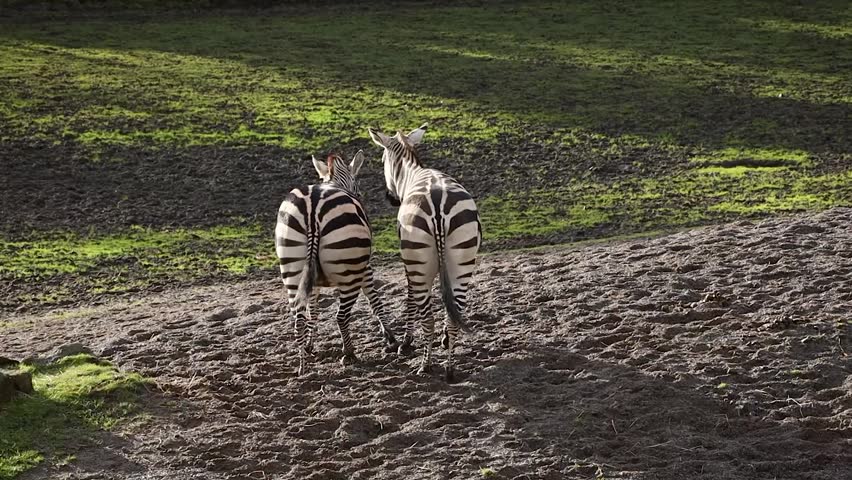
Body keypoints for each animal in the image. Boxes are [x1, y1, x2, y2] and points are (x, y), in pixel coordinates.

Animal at [275, 151, 398, 375]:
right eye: (357, 187)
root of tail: (312, 207)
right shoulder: (365, 268)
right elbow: (375, 299)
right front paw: (391, 339)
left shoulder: (312, 280)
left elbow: (313, 310)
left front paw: (309, 345)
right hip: (350, 272)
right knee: (341, 317)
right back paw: (349, 353)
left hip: (291, 269)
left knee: (299, 320)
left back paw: (302, 367)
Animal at [368, 124, 481, 382]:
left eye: (382, 159)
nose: (391, 198)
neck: (413, 173)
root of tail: (438, 206)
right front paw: (444, 339)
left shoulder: (409, 264)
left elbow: (410, 298)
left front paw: (407, 342)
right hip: (462, 262)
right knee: (454, 314)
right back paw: (449, 369)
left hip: (419, 263)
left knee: (427, 319)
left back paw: (426, 365)